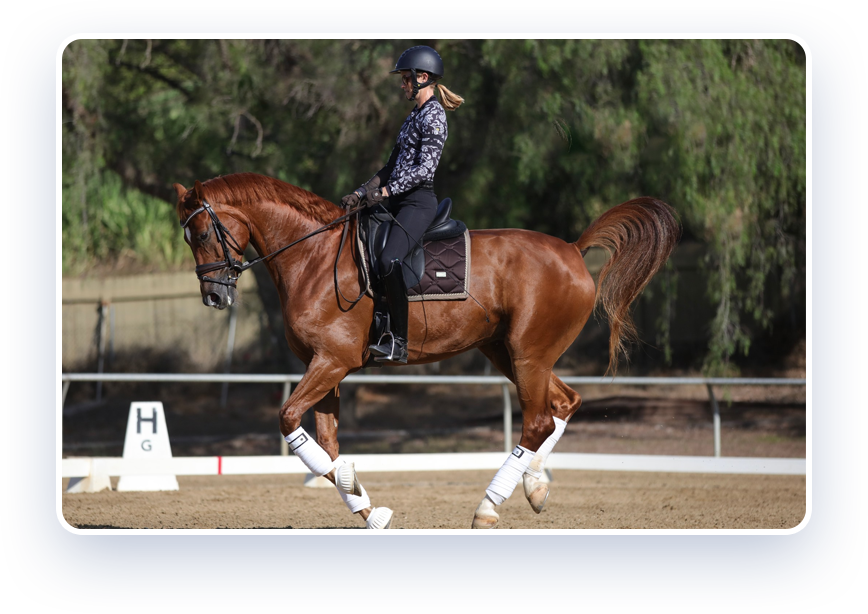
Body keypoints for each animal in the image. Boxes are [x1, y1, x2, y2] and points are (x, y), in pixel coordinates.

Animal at [173, 172, 680, 529]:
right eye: (188, 238)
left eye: (203, 234)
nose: (214, 296)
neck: (313, 257)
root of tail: (573, 250)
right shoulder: (325, 367)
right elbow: (329, 443)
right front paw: (367, 507)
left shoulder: (332, 362)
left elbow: (287, 419)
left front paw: (356, 489)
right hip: (508, 353)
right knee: (563, 404)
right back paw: (535, 487)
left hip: (528, 354)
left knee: (538, 421)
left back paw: (487, 508)